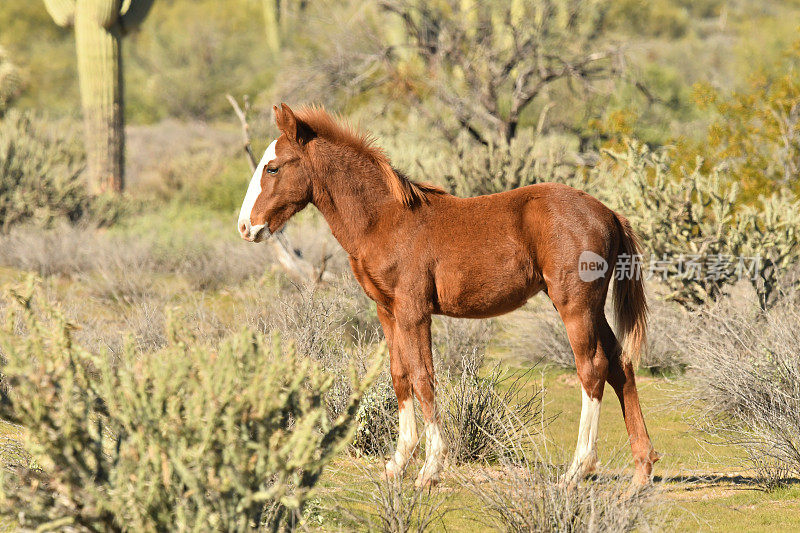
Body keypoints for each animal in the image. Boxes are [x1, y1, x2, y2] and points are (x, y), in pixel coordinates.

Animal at [241, 103, 660, 486]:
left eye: (273, 167)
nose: (246, 227)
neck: (384, 219)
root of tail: (609, 213)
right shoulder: (386, 311)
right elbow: (400, 377)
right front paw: (397, 464)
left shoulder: (414, 312)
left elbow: (424, 378)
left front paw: (430, 468)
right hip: (593, 309)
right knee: (621, 365)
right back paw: (642, 471)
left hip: (575, 306)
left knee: (593, 368)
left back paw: (577, 470)